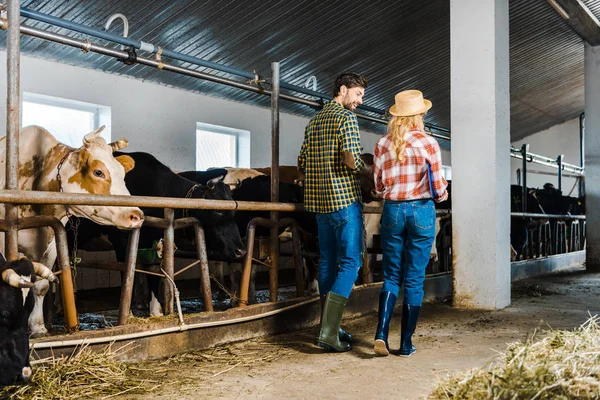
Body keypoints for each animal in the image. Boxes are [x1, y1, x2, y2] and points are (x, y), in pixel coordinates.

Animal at [0, 126, 144, 334]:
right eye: (98, 172)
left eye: (122, 174)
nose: (136, 215)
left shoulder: (52, 245)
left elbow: (41, 285)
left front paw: (38, 327)